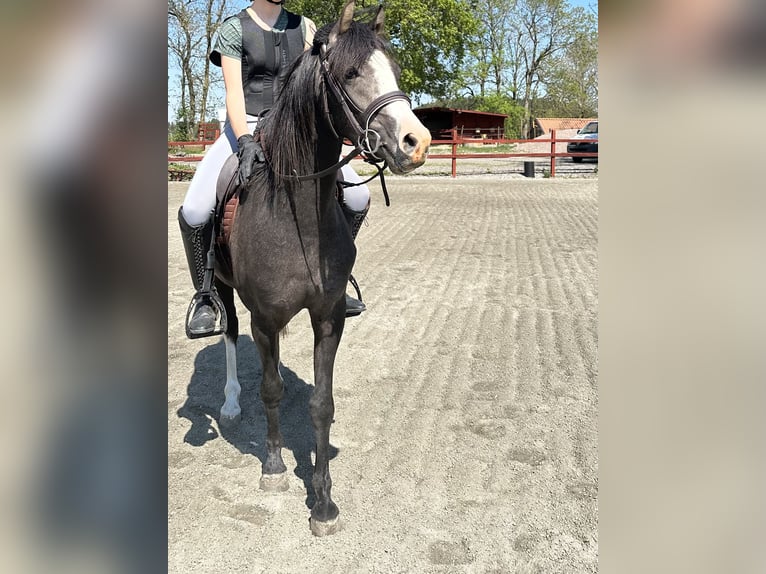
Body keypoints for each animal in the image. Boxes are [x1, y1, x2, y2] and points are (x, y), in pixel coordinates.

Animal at [210, 1, 432, 540]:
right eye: (351, 74)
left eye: (394, 70)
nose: (416, 142)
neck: (297, 216)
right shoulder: (264, 319)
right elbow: (270, 389)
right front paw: (273, 468)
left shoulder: (327, 317)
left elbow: (321, 405)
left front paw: (324, 502)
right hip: (225, 294)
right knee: (228, 334)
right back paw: (230, 402)